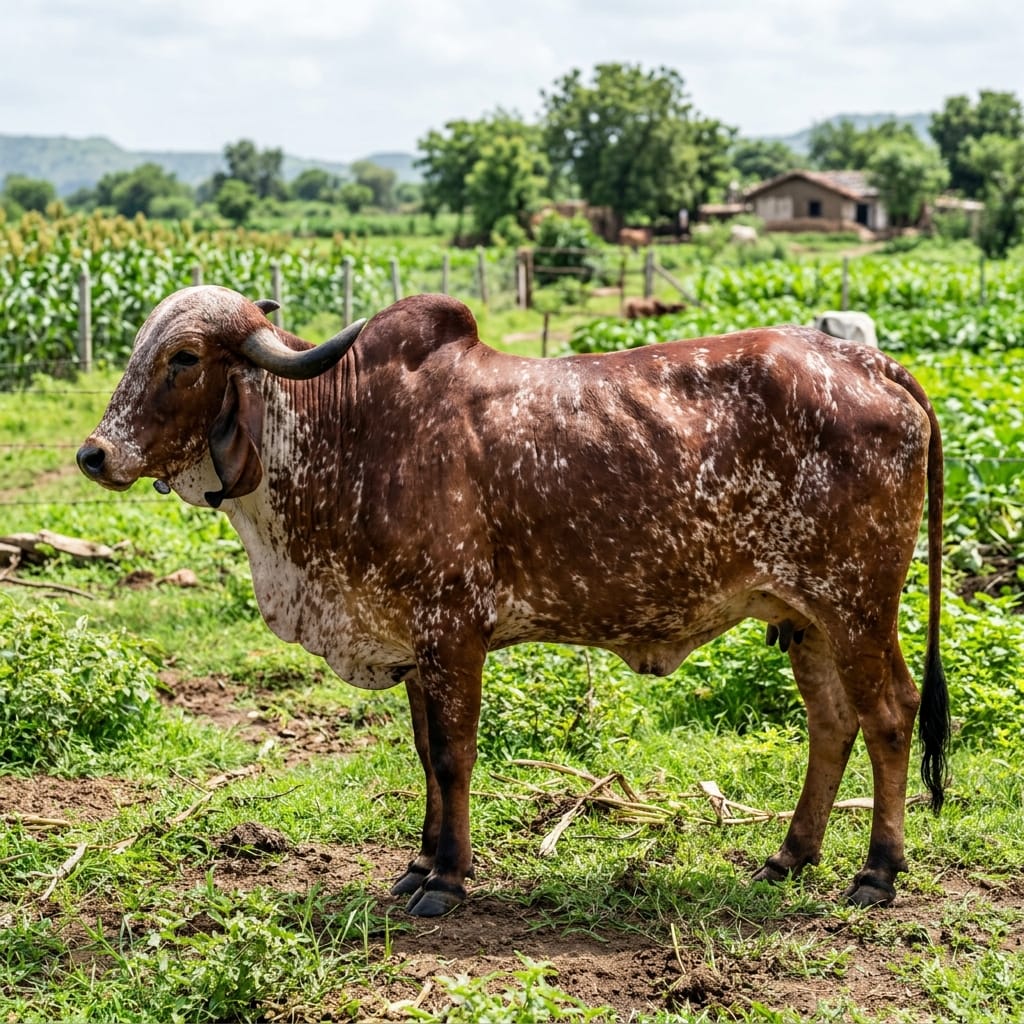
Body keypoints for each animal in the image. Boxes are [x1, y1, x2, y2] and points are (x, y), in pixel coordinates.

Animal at [78, 286, 949, 917]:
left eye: (184, 357)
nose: (94, 454)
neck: (343, 431)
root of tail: (871, 361)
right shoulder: (415, 644)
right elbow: (426, 754)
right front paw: (419, 863)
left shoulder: (453, 630)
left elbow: (455, 756)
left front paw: (448, 882)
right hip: (805, 617)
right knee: (831, 723)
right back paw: (790, 856)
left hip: (858, 604)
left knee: (890, 715)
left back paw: (877, 872)